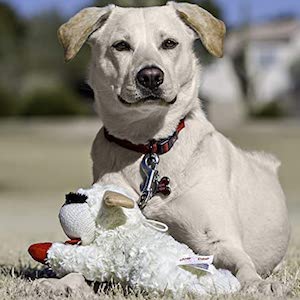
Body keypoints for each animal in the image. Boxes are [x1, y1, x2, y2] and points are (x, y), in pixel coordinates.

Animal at [57, 1, 290, 296]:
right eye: (121, 45)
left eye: (169, 43)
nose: (150, 76)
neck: (149, 144)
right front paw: (62, 283)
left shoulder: (216, 239)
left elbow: (241, 263)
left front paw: (256, 284)